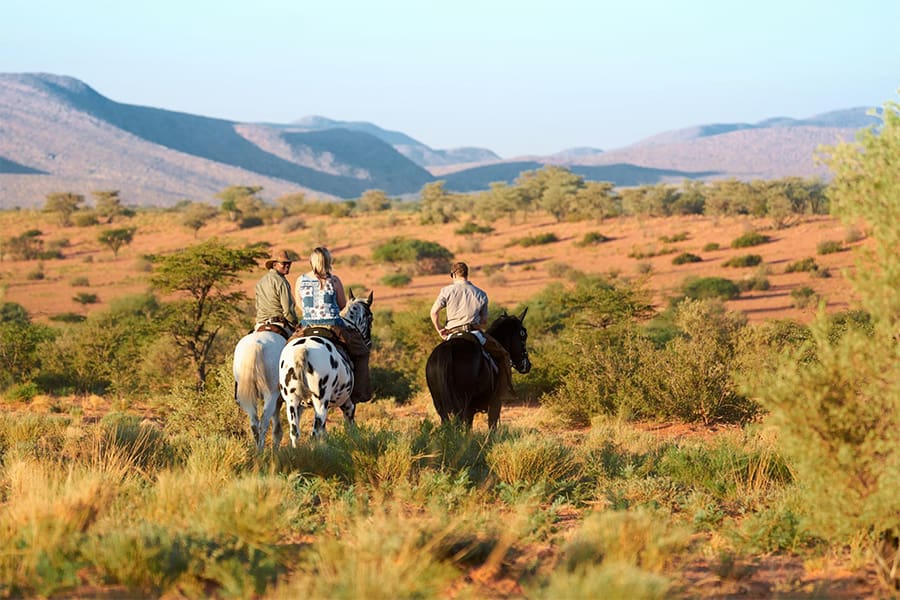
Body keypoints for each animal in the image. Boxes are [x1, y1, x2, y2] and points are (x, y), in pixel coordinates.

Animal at [276, 290, 370, 446]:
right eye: (371, 318)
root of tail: (302, 350)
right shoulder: (348, 405)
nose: (368, 341)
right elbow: (349, 427)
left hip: (292, 402)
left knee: (295, 433)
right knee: (315, 432)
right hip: (320, 402)